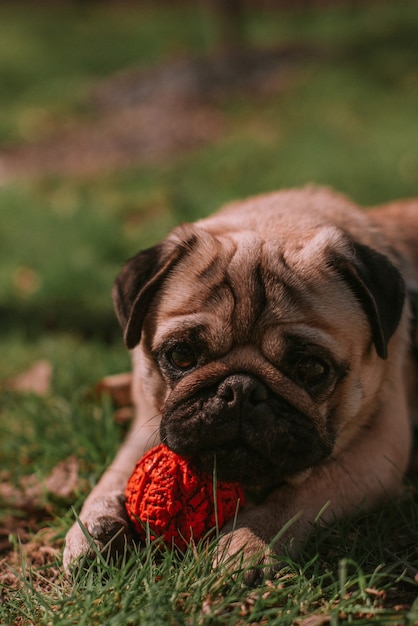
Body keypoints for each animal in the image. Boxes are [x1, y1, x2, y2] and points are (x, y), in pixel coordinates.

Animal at [62, 186, 418, 580]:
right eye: (181, 355)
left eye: (311, 368)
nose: (240, 389)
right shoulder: (150, 423)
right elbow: (115, 474)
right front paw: (94, 524)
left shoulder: (378, 452)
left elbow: (301, 493)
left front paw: (248, 540)